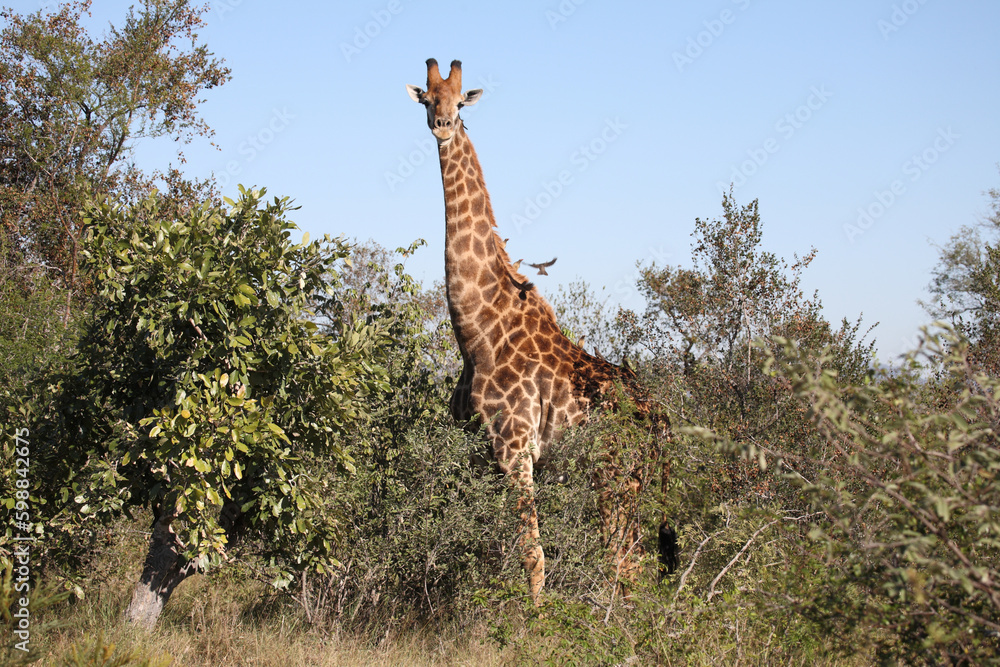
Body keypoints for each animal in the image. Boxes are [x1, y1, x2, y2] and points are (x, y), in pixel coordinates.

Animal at [406, 59, 674, 602]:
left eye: (460, 100)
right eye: (427, 97)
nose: (442, 126)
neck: (477, 330)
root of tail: (660, 421)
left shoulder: (514, 450)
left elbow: (533, 554)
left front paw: (535, 618)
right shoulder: (479, 452)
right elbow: (486, 550)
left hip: (614, 478)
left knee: (626, 562)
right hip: (633, 482)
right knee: (634, 562)